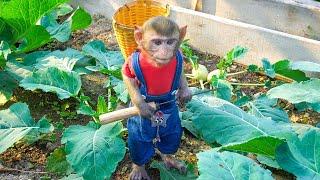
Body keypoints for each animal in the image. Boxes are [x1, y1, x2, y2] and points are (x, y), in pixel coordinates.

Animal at [122, 16, 192, 179]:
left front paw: (185, 92)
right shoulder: (131, 61)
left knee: (170, 139)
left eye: (170, 42)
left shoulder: (178, 55)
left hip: (172, 122)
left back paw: (168, 158)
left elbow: (180, 72)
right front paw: (142, 106)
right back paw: (139, 168)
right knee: (139, 145)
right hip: (138, 128)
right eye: (157, 42)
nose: (165, 50)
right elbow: (127, 77)